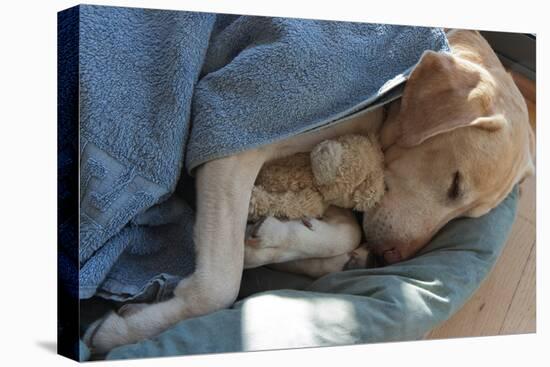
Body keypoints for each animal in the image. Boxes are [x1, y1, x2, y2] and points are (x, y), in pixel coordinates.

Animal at [85, 30, 536, 354]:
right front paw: (125, 331)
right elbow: (220, 285)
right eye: (455, 184)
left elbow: (346, 232)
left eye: (465, 217)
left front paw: (278, 241)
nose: (392, 258)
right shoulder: (232, 141)